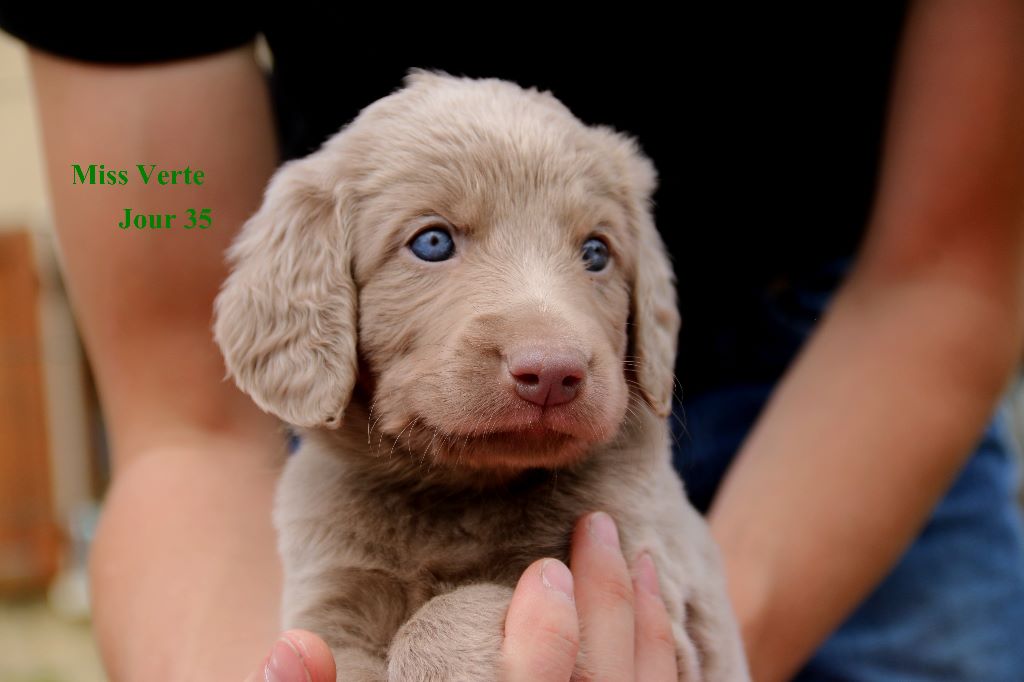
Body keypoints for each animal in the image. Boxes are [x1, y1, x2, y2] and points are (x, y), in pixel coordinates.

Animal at [211, 65, 749, 679]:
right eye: (432, 241)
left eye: (596, 252)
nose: (552, 373)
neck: (459, 491)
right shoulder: (329, 608)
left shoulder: (655, 599)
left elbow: (455, 605)